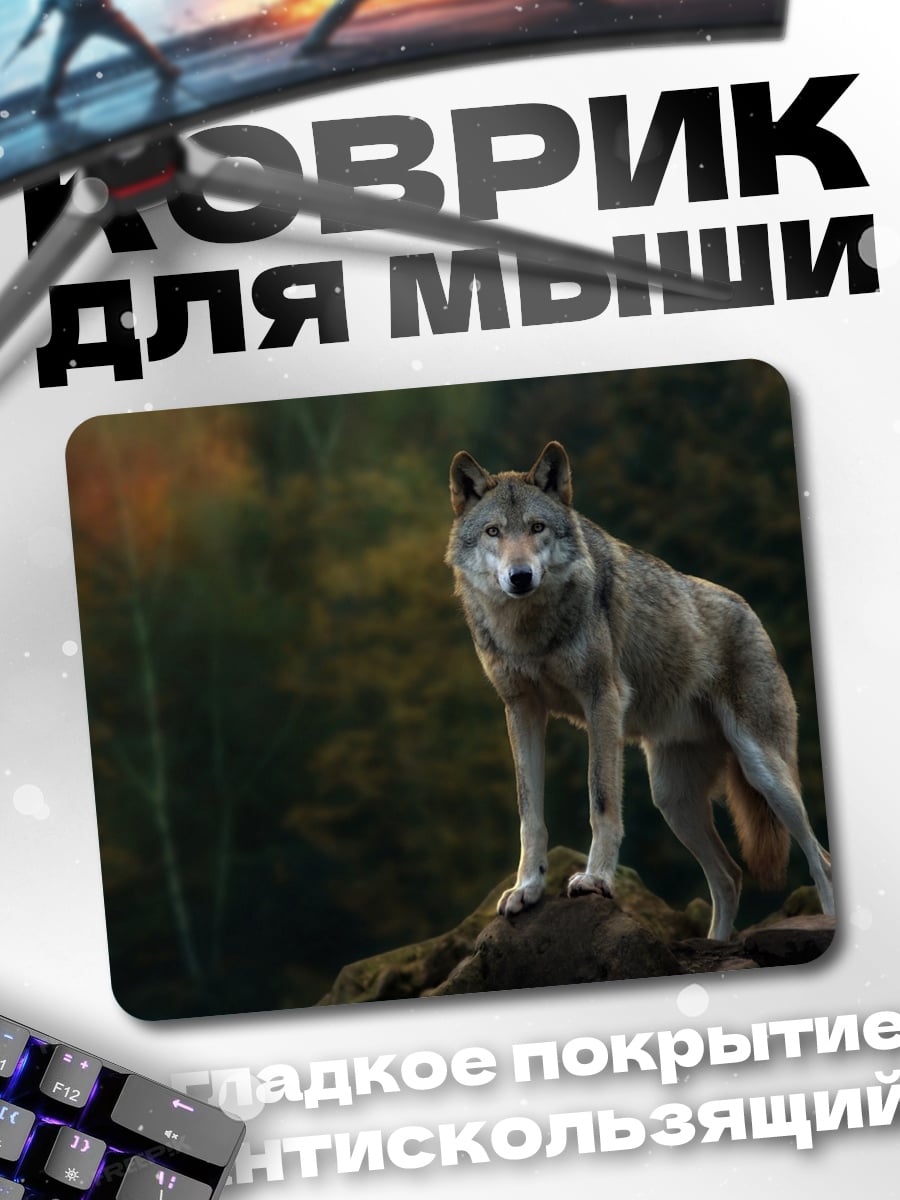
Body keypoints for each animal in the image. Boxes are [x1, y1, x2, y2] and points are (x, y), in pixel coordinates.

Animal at [445, 440, 833, 941]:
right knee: (729, 875)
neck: (531, 630)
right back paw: (714, 942)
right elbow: (530, 814)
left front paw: (595, 880)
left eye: (536, 528)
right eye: (493, 531)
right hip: (671, 797)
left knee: (819, 857)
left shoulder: (603, 701)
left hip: (764, 773)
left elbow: (601, 801)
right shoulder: (521, 710)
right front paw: (527, 889)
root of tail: (750, 612)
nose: (520, 576)